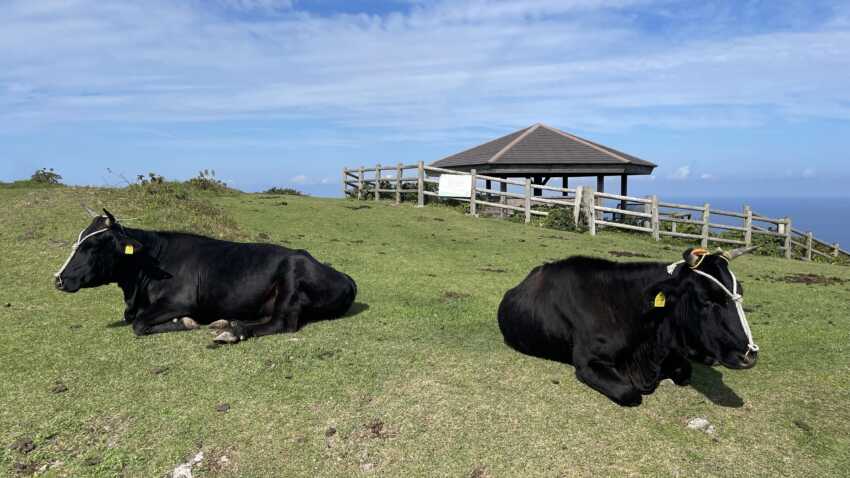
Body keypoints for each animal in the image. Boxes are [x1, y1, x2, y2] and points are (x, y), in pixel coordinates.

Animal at [52, 207, 358, 346]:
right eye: (78, 241)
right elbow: (132, 319)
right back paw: (226, 322)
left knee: (281, 323)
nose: (59, 279)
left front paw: (186, 323)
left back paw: (233, 332)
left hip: (292, 276)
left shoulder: (180, 300)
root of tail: (344, 276)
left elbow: (138, 324)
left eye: (92, 245)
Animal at [494, 246, 760, 408]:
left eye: (740, 292)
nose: (749, 356)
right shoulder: (588, 362)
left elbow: (685, 370)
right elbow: (629, 393)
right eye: (706, 299)